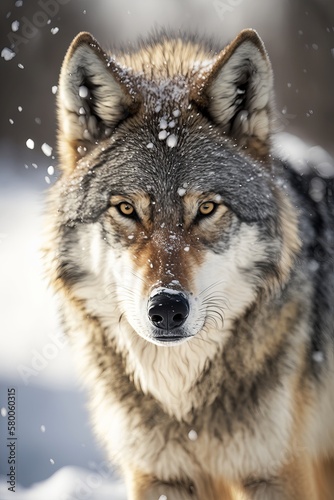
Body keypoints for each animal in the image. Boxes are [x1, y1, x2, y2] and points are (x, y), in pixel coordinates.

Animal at [45, 29, 334, 498]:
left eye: (207, 208)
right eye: (127, 209)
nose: (166, 309)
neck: (180, 395)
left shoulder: (276, 472)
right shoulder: (160, 476)